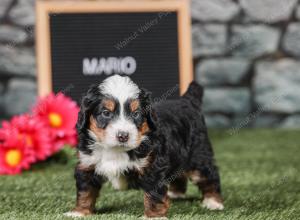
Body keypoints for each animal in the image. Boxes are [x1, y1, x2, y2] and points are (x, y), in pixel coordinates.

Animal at [66, 75, 225, 217]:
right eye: (106, 113)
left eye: (136, 114)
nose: (123, 135)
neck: (115, 150)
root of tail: (187, 100)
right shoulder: (87, 164)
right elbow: (85, 191)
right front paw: (80, 212)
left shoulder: (153, 166)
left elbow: (153, 195)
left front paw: (154, 216)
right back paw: (176, 194)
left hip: (199, 155)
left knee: (209, 175)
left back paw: (213, 202)